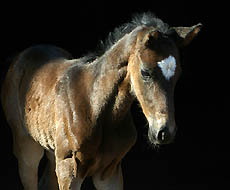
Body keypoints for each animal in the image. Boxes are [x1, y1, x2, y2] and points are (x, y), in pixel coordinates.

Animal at [0, 12, 201, 189]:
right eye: (145, 72)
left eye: (178, 74)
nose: (165, 132)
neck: (95, 106)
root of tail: (22, 55)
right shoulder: (69, 170)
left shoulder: (110, 172)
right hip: (27, 146)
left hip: (52, 151)